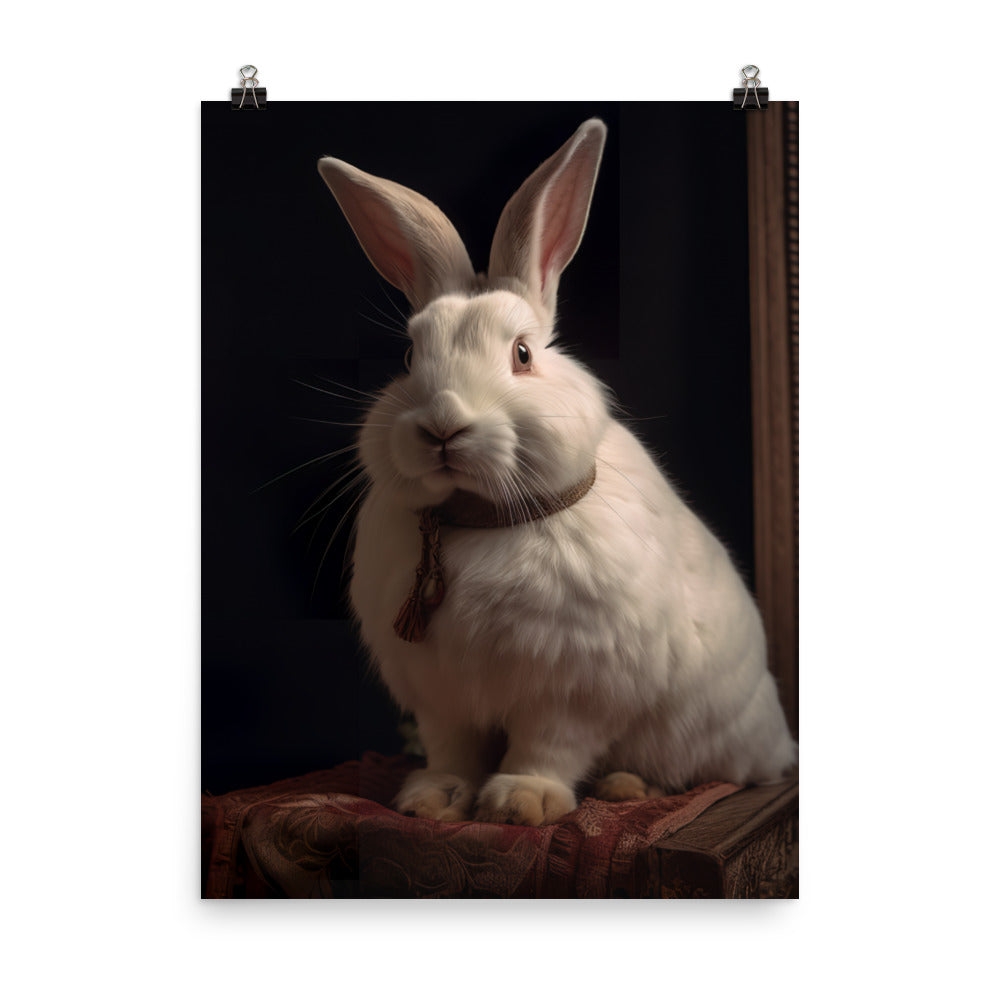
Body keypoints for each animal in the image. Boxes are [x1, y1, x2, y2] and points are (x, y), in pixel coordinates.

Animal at [316, 118, 797, 826]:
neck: (478, 521)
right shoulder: (442, 698)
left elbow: (549, 745)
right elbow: (452, 748)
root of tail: (777, 742)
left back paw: (626, 787)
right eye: (407, 357)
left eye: (522, 355)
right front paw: (434, 800)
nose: (442, 426)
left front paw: (522, 802)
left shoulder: (573, 689)